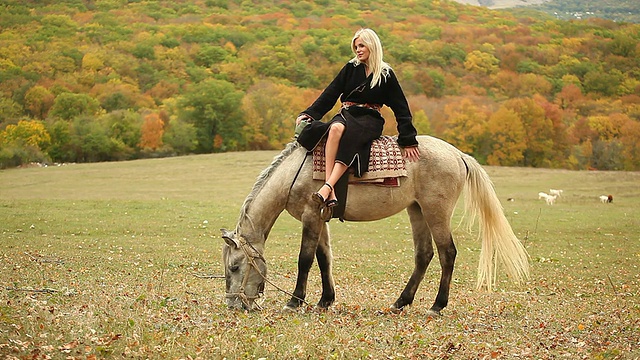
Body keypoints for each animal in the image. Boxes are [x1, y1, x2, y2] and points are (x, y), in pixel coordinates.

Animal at [221, 136, 528, 316]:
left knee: (447, 253)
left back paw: (436, 306)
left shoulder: (311, 216)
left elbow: (305, 259)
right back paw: (400, 302)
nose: (234, 304)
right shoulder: (320, 219)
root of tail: (458, 154)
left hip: (436, 213)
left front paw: (295, 300)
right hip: (417, 210)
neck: (294, 173)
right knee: (424, 255)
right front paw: (325, 300)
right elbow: (324, 258)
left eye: (234, 267)